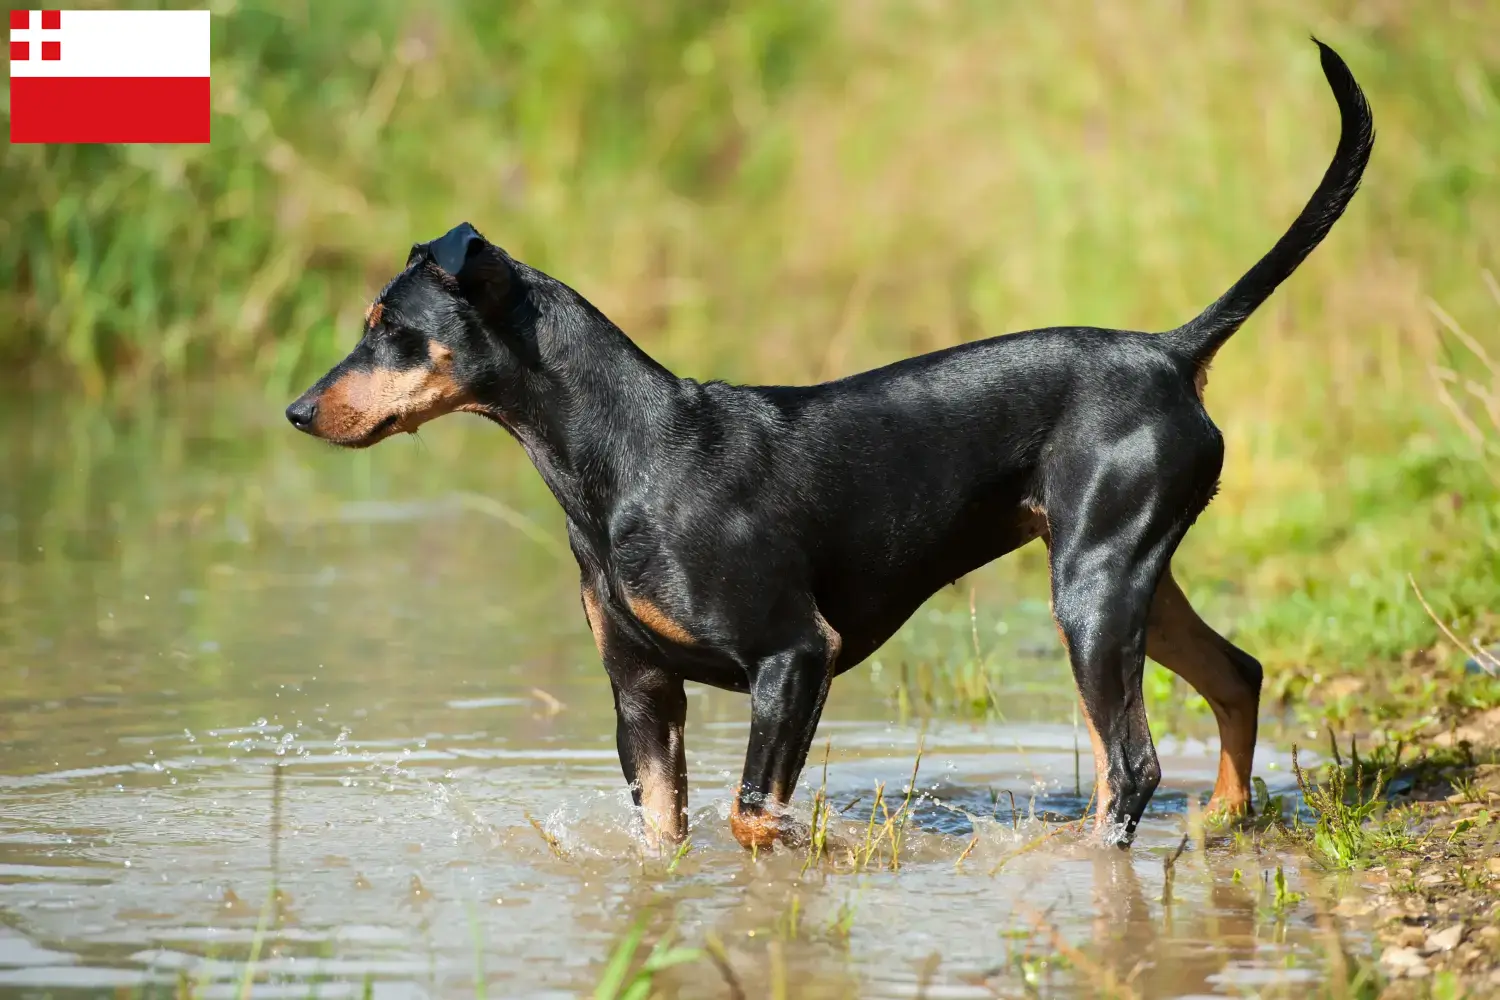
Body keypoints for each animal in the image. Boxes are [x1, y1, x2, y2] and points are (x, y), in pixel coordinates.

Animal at [286, 43, 1374, 851]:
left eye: (390, 325)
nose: (297, 410)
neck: (627, 459)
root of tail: (1168, 350)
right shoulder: (642, 692)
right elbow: (668, 838)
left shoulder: (796, 656)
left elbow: (752, 817)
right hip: (1128, 571)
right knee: (1238, 673)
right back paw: (1225, 820)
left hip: (1094, 590)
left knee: (1131, 764)